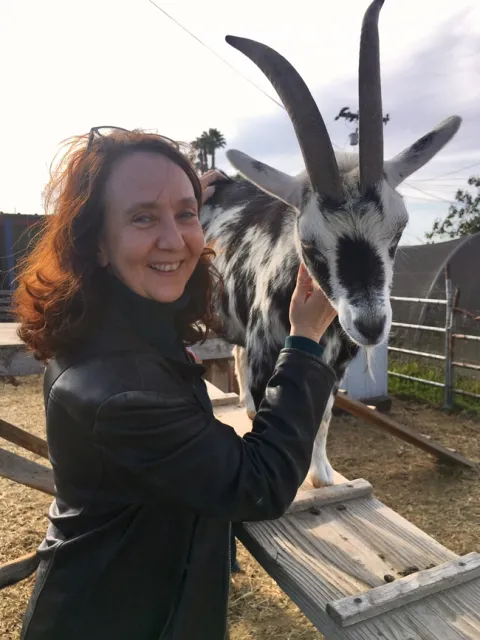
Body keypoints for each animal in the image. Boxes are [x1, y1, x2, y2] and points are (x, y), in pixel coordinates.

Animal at [200, 0, 461, 487]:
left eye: (398, 230)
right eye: (308, 243)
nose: (371, 326)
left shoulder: (334, 363)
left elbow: (321, 414)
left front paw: (322, 475)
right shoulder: (267, 357)